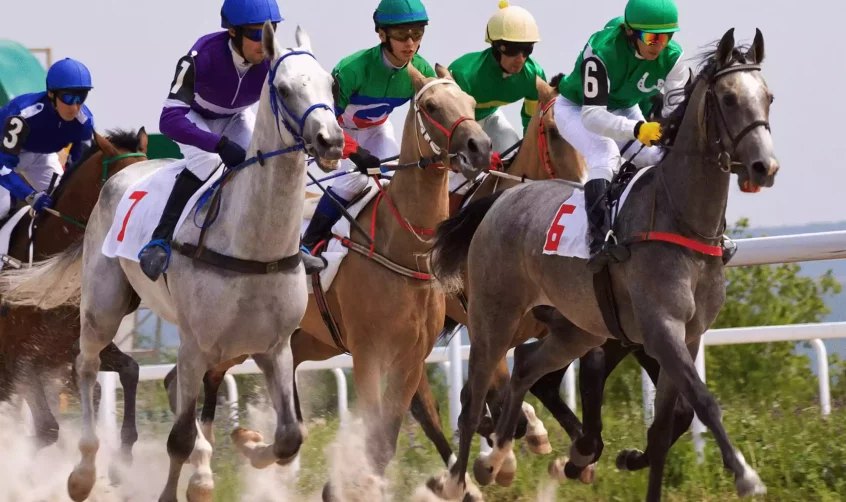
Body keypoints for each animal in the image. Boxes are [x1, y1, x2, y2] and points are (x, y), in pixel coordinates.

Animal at [428, 28, 780, 502]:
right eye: (727, 98)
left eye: (768, 97)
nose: (764, 166)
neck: (681, 219)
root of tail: (503, 198)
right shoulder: (661, 329)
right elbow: (703, 401)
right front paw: (745, 473)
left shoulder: (685, 337)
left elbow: (667, 426)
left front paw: (627, 461)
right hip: (493, 318)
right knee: (473, 397)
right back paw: (458, 478)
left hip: (576, 330)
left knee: (527, 369)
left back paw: (496, 458)